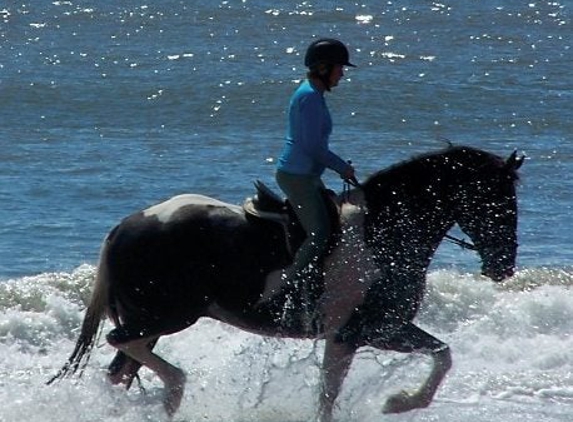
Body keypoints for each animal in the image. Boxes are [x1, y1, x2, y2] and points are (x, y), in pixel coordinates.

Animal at [50, 146, 524, 422]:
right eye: (498, 201)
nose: (504, 267)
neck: (382, 235)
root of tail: (125, 226)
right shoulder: (369, 328)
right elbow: (437, 357)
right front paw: (399, 401)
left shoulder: (357, 334)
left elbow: (432, 358)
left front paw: (398, 401)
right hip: (168, 317)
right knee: (122, 345)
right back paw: (175, 387)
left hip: (155, 321)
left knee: (121, 367)